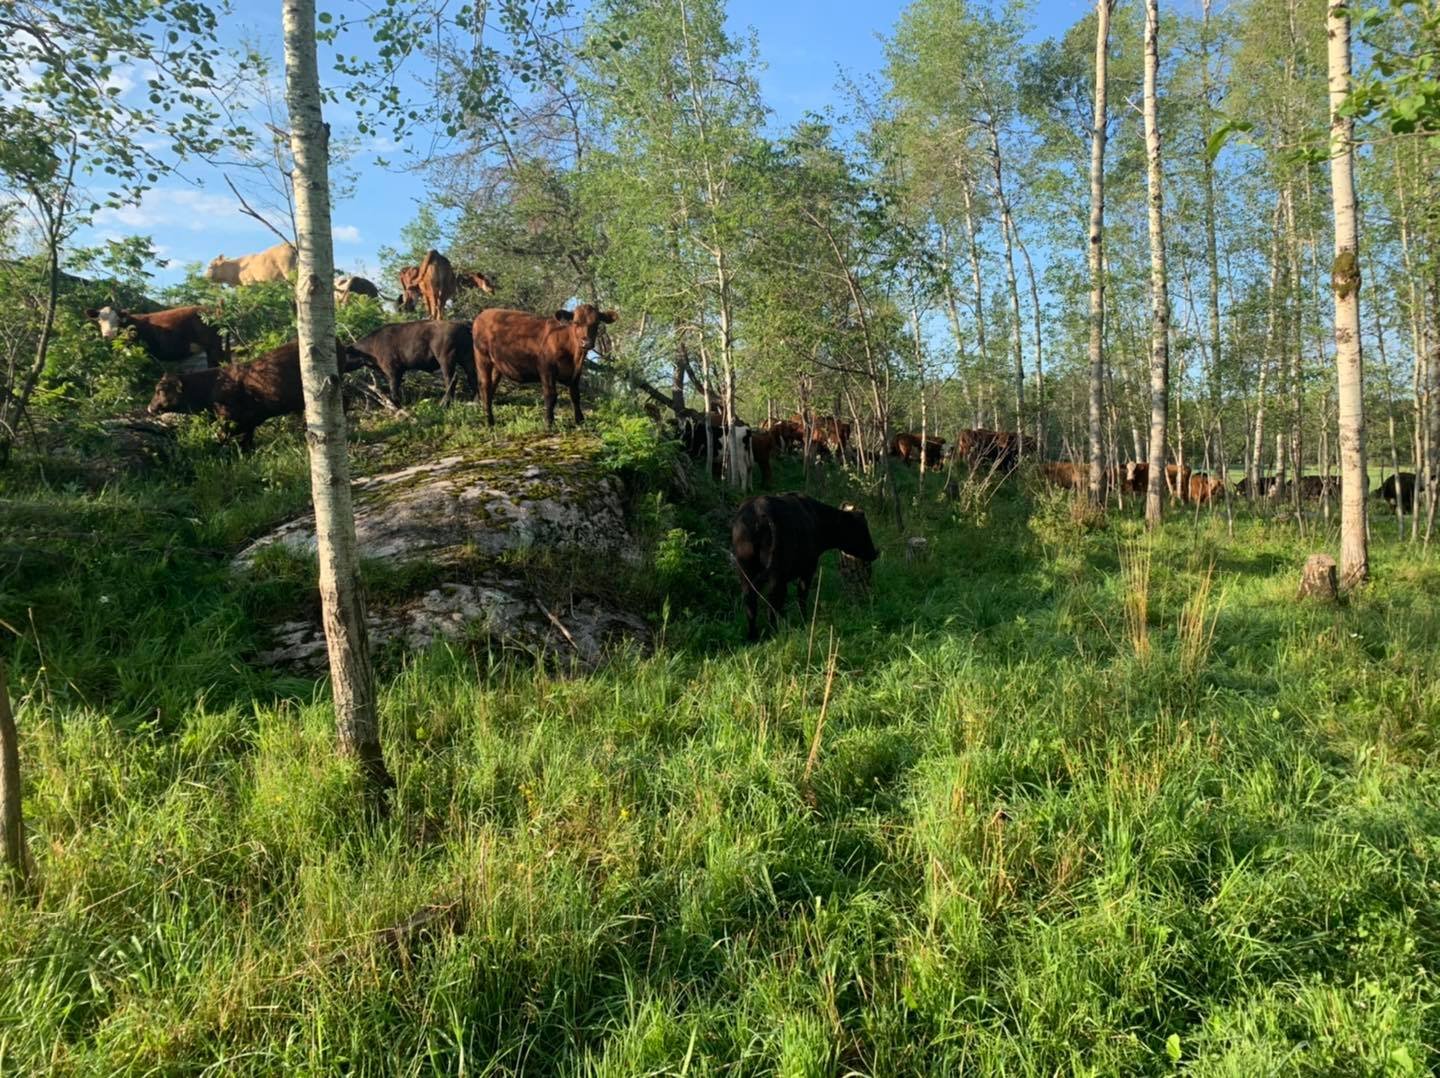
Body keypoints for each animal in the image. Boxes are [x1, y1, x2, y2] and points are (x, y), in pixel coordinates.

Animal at [146, 338, 360, 451]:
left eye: (160, 390)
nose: (150, 407)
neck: (211, 387)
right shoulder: (250, 420)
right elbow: (246, 440)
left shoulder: (231, 420)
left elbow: (223, 437)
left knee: (345, 401)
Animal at [348, 322, 478, 405]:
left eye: (344, 354)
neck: (373, 345)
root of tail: (462, 325)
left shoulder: (393, 371)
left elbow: (393, 387)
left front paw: (395, 402)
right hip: (467, 359)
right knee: (472, 377)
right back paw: (475, 400)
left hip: (446, 359)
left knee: (451, 379)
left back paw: (445, 402)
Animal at [466, 302, 613, 428]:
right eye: (576, 322)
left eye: (596, 323)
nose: (586, 342)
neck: (574, 356)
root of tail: (483, 314)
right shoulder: (546, 369)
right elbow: (550, 395)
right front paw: (549, 423)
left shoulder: (575, 374)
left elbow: (575, 396)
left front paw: (580, 421)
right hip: (482, 358)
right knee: (485, 386)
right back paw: (489, 422)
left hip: (497, 365)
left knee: (491, 388)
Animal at [731, 495, 875, 639]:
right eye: (862, 529)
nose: (874, 552)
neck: (816, 518)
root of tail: (759, 509)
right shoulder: (808, 570)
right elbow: (802, 596)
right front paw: (804, 621)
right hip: (775, 575)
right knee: (772, 603)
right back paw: (775, 634)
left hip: (745, 571)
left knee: (750, 602)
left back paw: (753, 636)